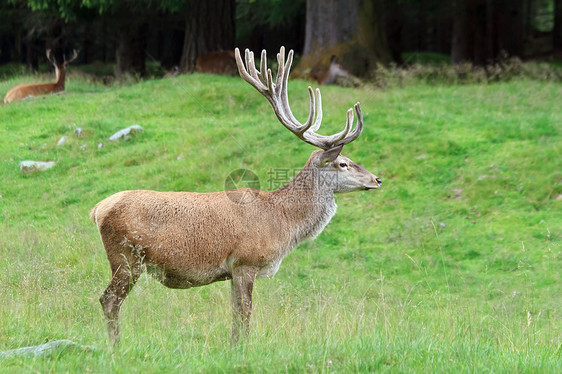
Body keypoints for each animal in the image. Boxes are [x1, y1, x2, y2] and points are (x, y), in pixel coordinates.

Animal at [91, 46, 380, 344]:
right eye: (343, 163)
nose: (377, 179)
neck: (282, 224)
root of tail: (97, 209)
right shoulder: (246, 262)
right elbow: (245, 316)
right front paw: (243, 348)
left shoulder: (232, 272)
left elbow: (235, 317)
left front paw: (233, 346)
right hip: (126, 256)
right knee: (109, 299)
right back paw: (116, 346)